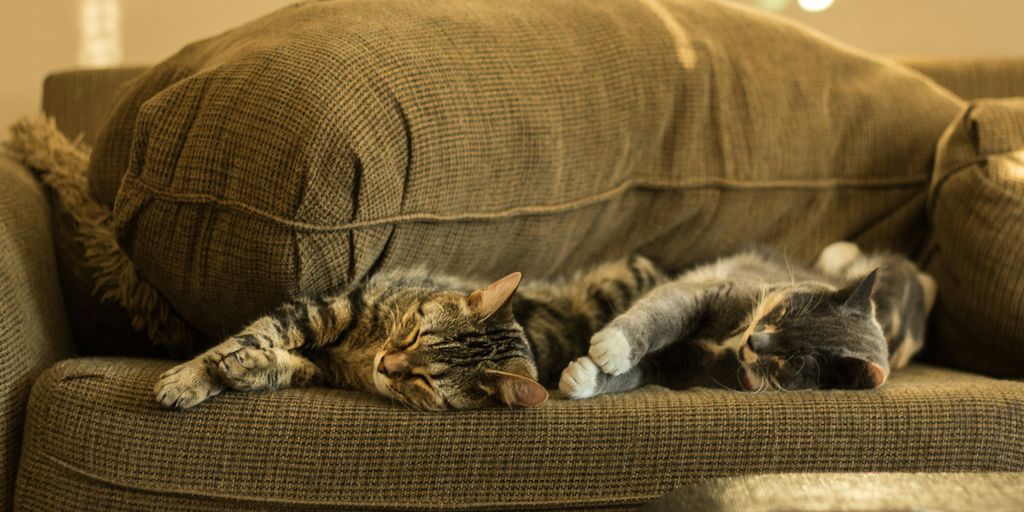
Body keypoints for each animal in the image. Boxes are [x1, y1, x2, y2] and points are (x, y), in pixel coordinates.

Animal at [151, 256, 663, 411]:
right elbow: (251, 335)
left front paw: (242, 370)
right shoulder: (325, 310)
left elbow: (282, 365)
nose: (386, 364)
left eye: (424, 381)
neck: (363, 353)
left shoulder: (322, 366)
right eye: (416, 333)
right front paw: (193, 375)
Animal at [561, 241, 937, 397]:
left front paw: (585, 377)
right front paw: (611, 348)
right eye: (785, 313)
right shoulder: (705, 291)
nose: (755, 341)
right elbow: (659, 315)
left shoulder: (679, 367)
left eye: (792, 362)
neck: (731, 340)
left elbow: (637, 374)